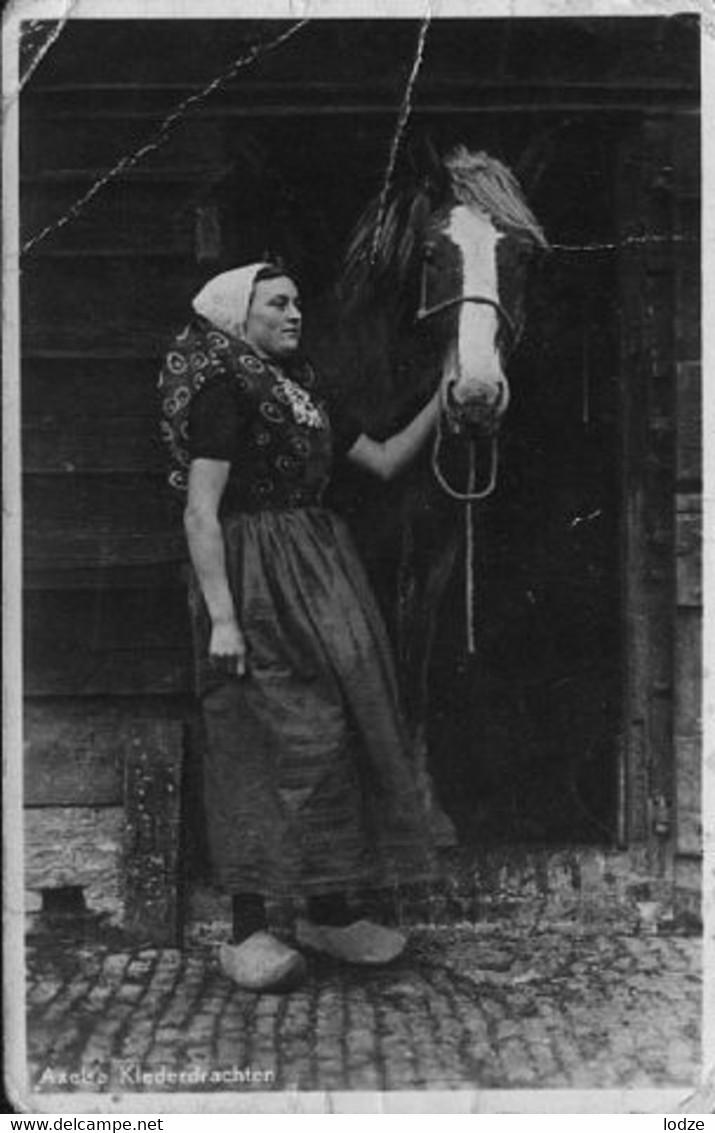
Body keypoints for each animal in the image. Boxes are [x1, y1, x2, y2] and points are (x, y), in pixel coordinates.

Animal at [319, 139, 548, 806]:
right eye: (430, 254)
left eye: (522, 256)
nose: (474, 396)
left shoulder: (432, 551)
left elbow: (411, 672)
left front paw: (419, 802)